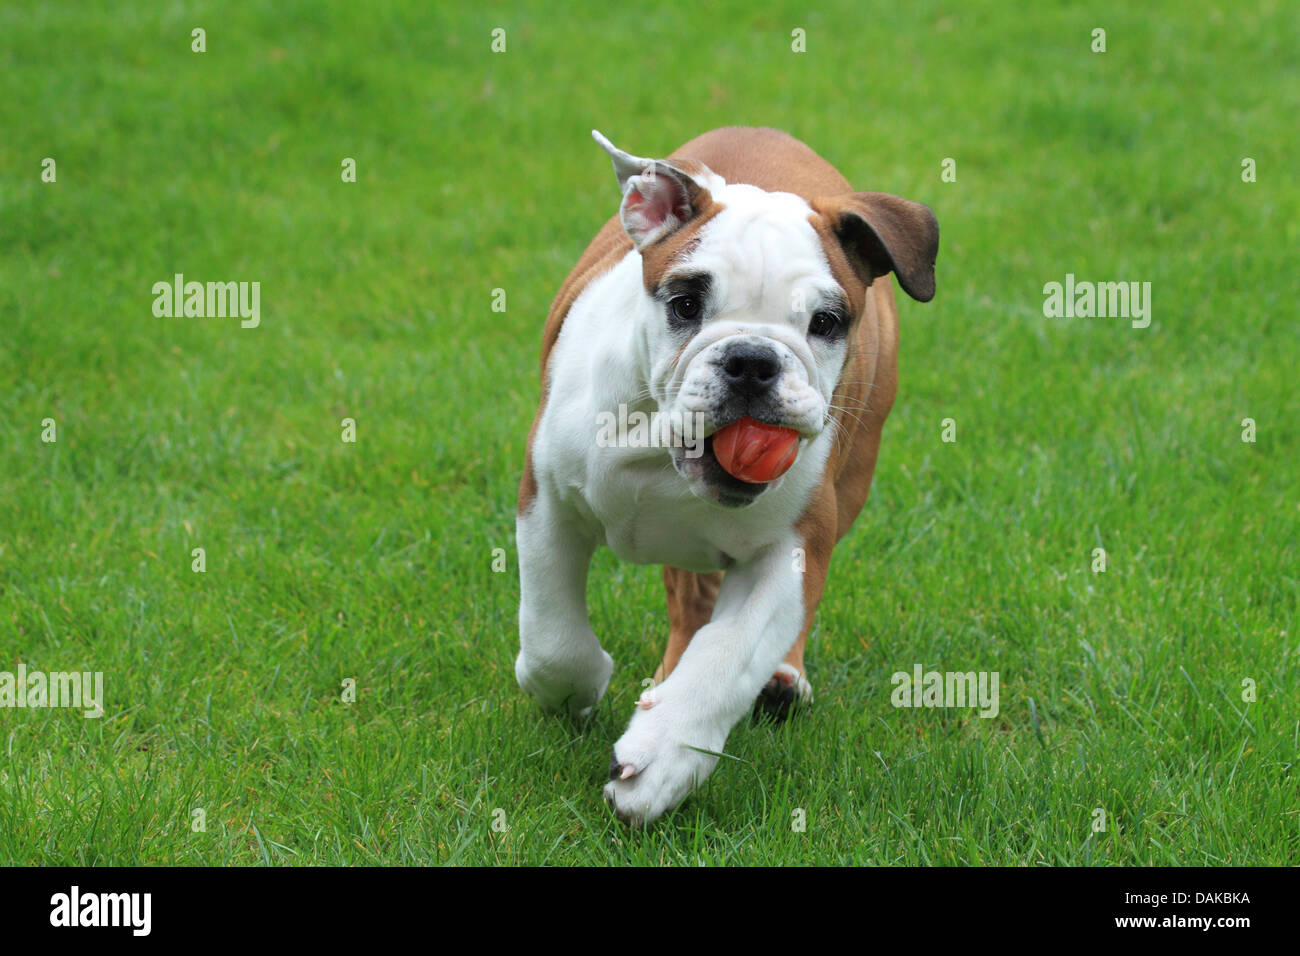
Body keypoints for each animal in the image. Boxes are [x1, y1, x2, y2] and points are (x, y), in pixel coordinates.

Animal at [512, 127, 941, 827]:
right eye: (685, 304)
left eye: (826, 322)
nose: (752, 359)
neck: (658, 445)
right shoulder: (547, 503)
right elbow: (552, 636)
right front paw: (578, 687)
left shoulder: (794, 547)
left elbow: (730, 655)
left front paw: (662, 758)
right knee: (687, 600)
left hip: (854, 478)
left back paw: (777, 682)